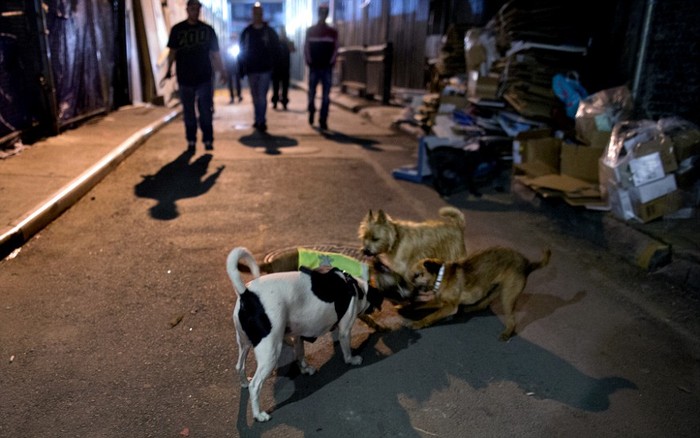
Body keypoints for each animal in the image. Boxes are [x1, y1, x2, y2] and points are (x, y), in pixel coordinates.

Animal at [227, 246, 382, 420]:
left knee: (239, 366)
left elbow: (300, 353)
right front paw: (353, 359)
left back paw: (244, 383)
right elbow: (346, 350)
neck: (354, 286)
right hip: (270, 352)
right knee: (256, 386)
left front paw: (305, 369)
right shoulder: (345, 329)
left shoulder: (298, 335)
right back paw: (259, 415)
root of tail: (246, 294)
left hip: (244, 343)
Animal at [408, 245, 548, 340]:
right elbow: (419, 305)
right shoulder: (440, 302)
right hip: (496, 289)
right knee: (483, 304)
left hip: (507, 297)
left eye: (417, 275)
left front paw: (419, 323)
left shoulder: (450, 307)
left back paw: (507, 333)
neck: (440, 276)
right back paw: (470, 308)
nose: (408, 289)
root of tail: (527, 264)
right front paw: (407, 306)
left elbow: (431, 316)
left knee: (512, 320)